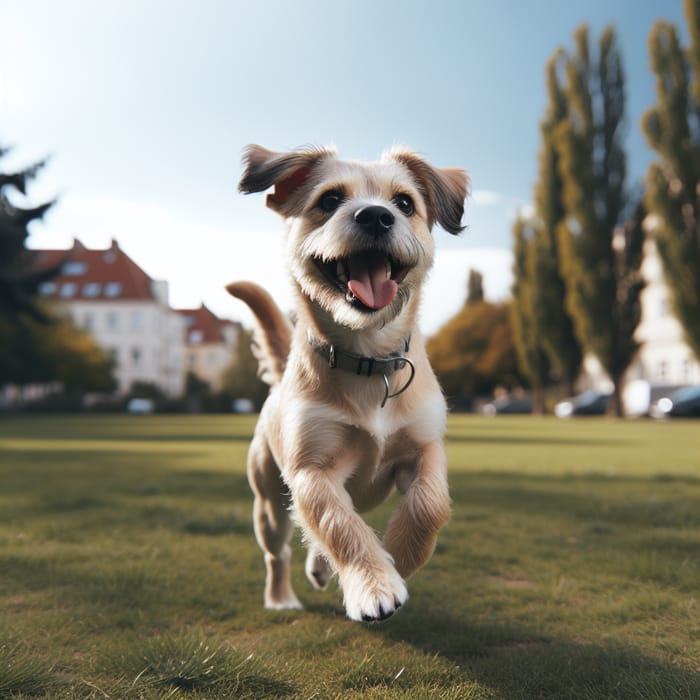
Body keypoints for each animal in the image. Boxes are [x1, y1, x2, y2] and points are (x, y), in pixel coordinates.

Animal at [228, 144, 470, 624]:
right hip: (269, 503)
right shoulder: (312, 472)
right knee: (280, 551)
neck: (368, 360)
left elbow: (428, 506)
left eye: (405, 203)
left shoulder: (425, 450)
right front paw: (375, 585)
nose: (375, 216)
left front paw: (397, 560)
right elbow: (338, 526)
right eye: (329, 200)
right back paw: (280, 597)